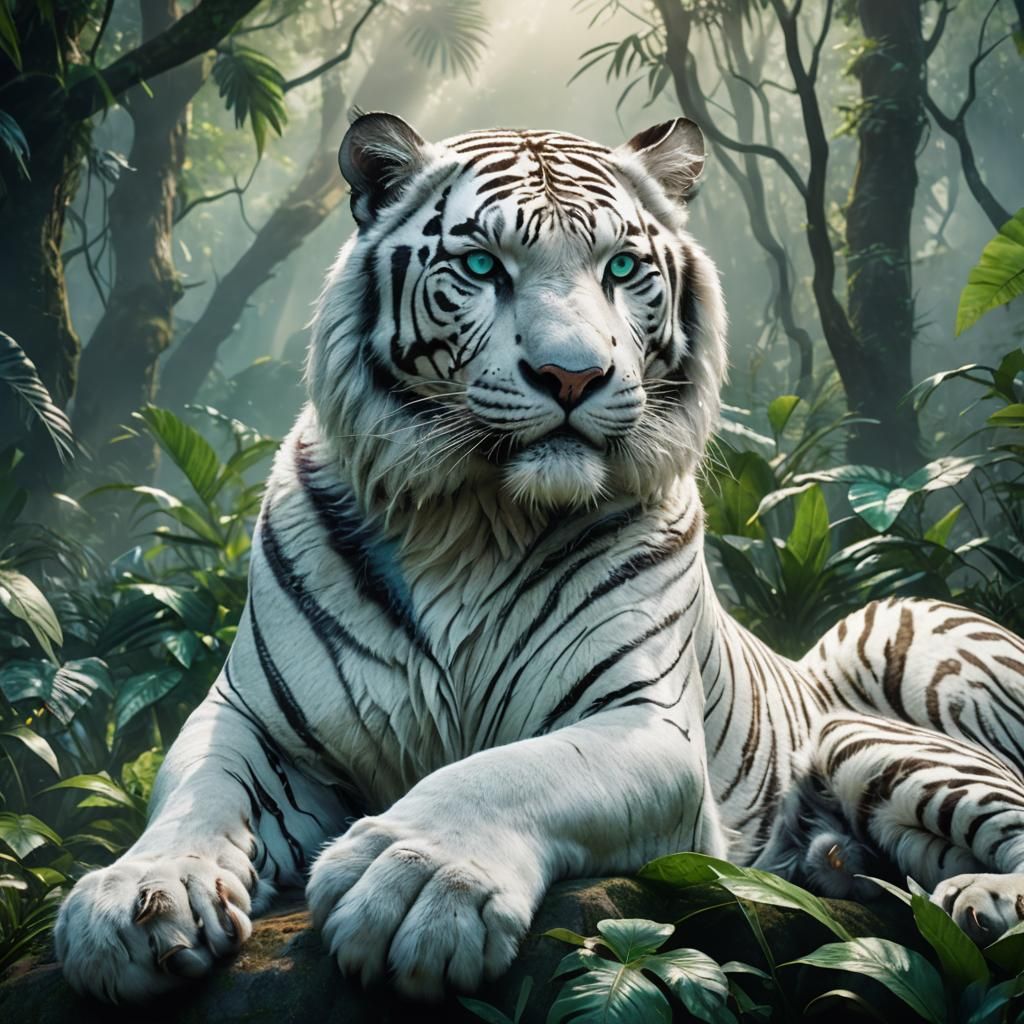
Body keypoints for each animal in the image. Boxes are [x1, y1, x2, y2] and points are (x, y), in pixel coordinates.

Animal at [54, 111, 1024, 1004]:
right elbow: (198, 792)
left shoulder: (646, 724)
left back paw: (983, 898)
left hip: (875, 693)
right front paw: (139, 897)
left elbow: (506, 772)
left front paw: (414, 881)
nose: (572, 376)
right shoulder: (251, 715)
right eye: (483, 267)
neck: (472, 522)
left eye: (621, 269)